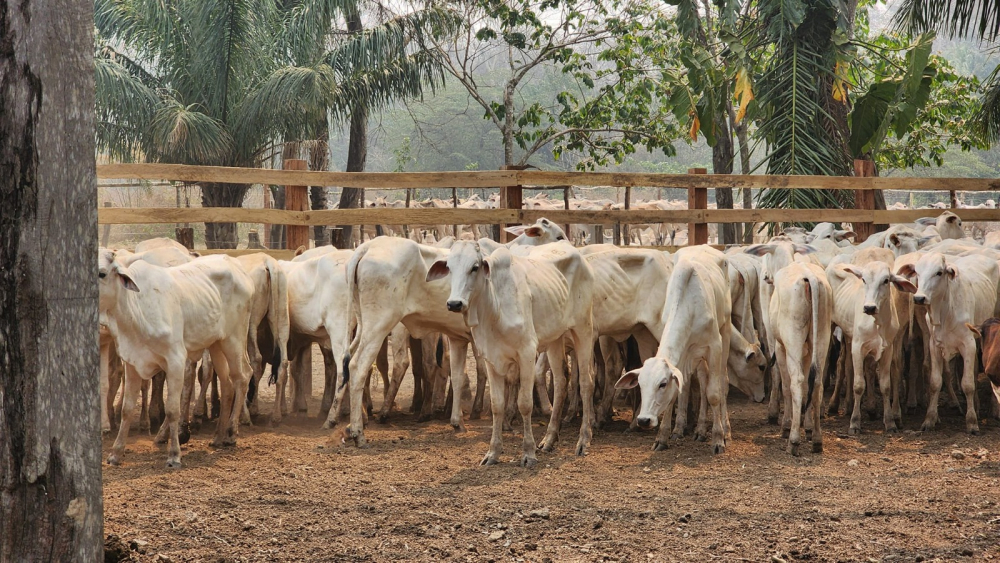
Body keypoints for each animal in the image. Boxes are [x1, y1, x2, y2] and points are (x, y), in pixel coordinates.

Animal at [428, 239, 592, 468]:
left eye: (475, 267)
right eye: (450, 267)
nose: (454, 303)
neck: (493, 309)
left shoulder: (527, 353)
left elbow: (525, 403)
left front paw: (528, 453)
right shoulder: (490, 358)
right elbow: (497, 405)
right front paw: (493, 453)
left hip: (584, 328)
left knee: (586, 382)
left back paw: (583, 440)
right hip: (555, 338)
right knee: (561, 380)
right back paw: (549, 439)